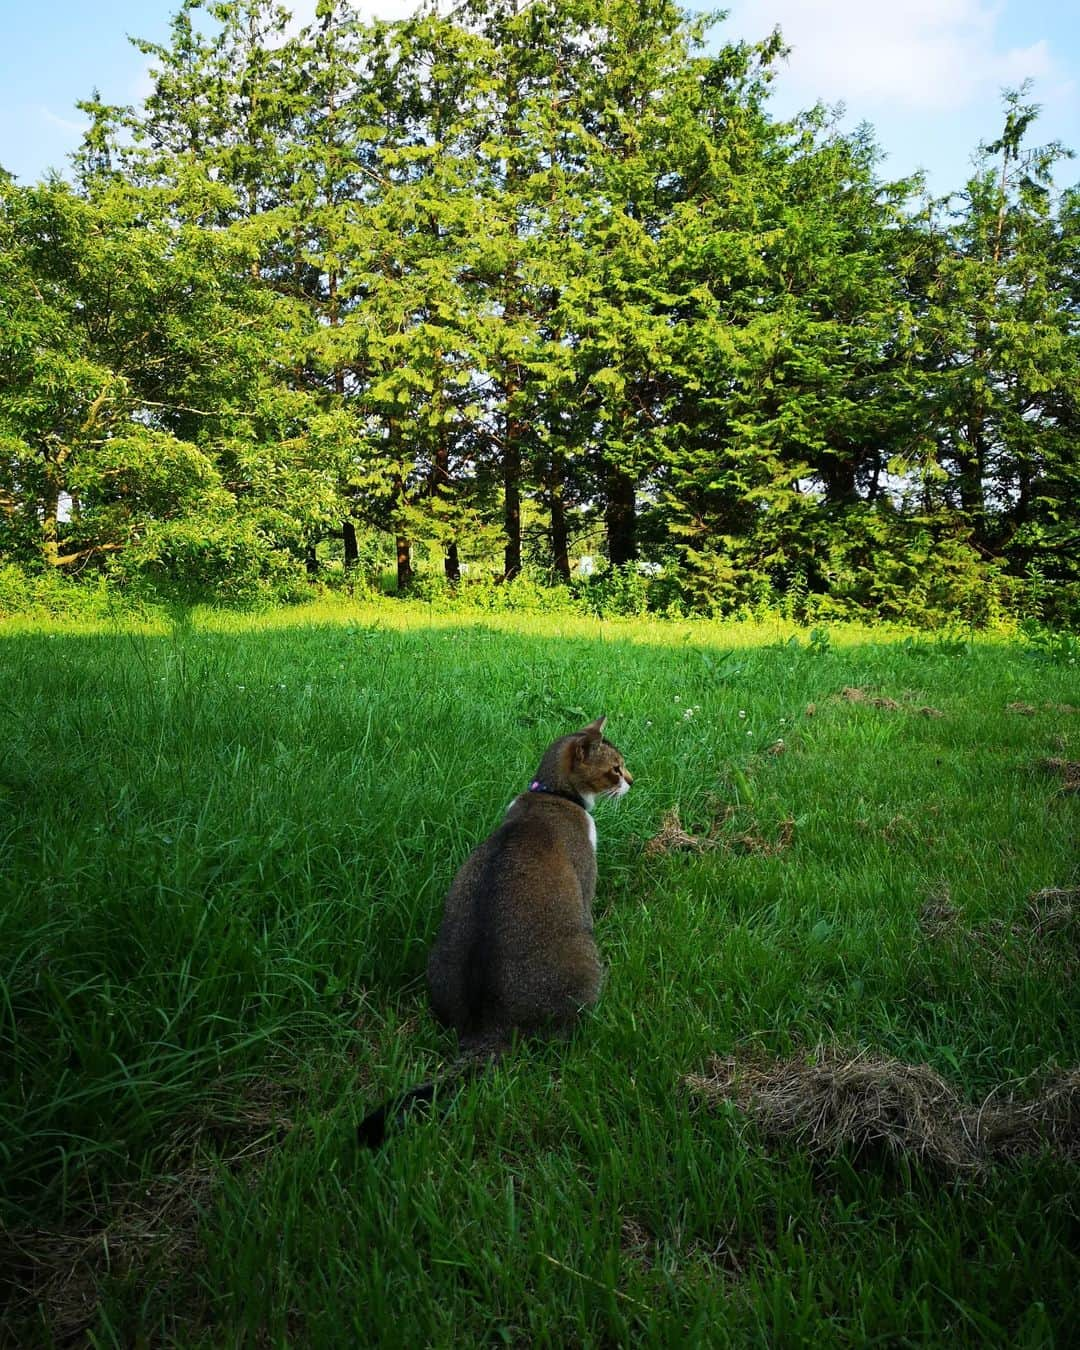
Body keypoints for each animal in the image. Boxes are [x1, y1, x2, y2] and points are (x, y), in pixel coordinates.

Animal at [361, 718, 631, 1150]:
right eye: (616, 769)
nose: (632, 781)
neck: (550, 796)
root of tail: (487, 1030)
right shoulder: (585, 876)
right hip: (586, 964)